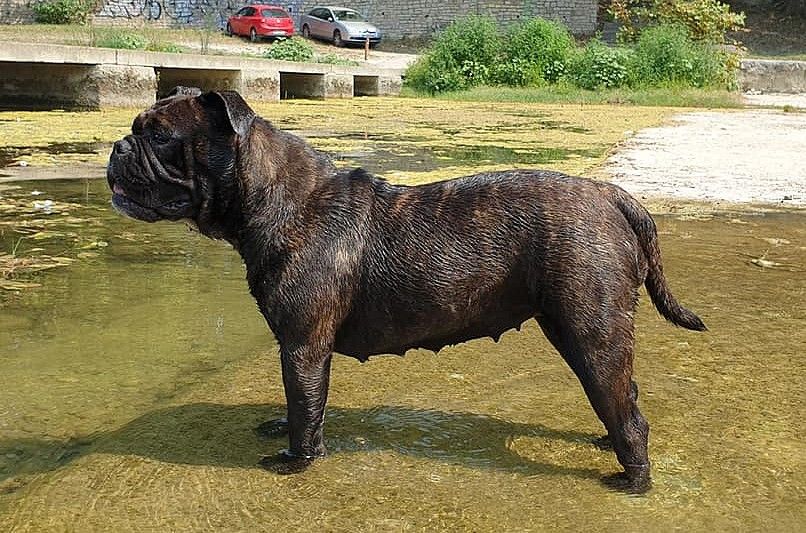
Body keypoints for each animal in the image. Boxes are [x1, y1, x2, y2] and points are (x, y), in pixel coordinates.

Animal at [107, 87, 708, 490]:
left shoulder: (303, 346)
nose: (118, 146)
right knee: (623, 395)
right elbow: (299, 403)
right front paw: (282, 428)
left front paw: (297, 460)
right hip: (578, 331)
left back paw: (632, 479)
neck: (278, 198)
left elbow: (306, 406)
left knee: (627, 411)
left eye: (159, 135)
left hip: (591, 330)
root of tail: (611, 195)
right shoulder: (299, 349)